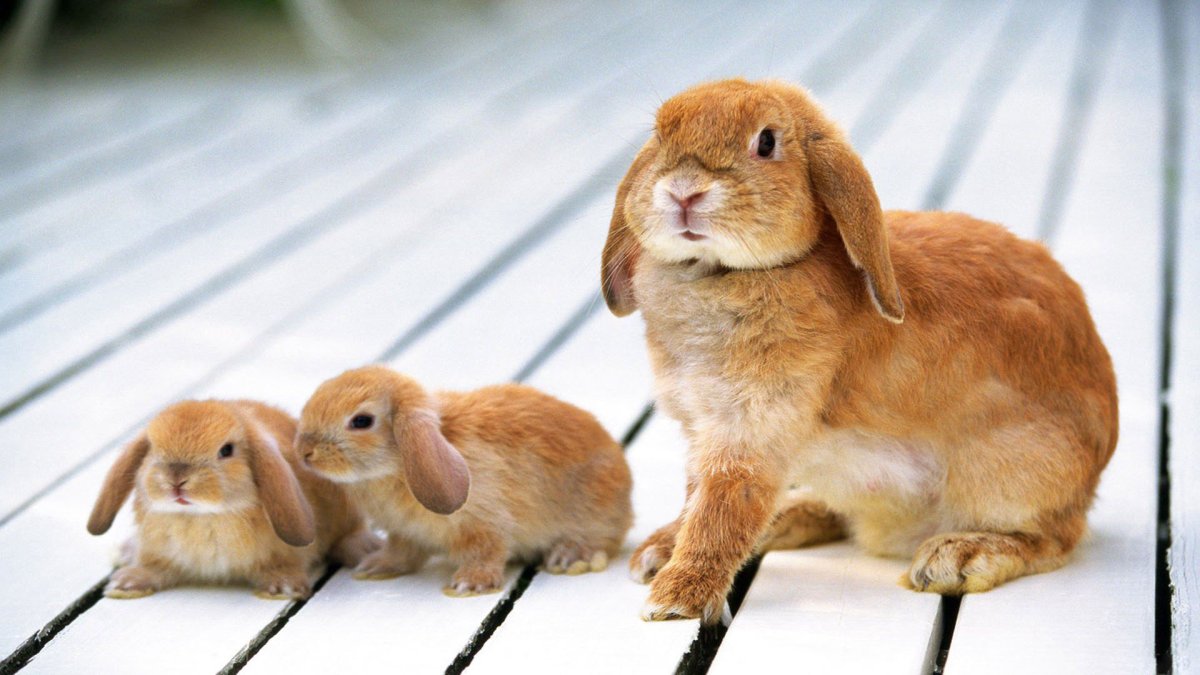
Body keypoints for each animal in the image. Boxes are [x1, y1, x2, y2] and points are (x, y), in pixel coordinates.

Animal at [87, 399, 378, 600]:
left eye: (226, 450)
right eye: (152, 448)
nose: (177, 480)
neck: (203, 516)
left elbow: (285, 564)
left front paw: (281, 588)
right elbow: (154, 568)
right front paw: (126, 583)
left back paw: (365, 549)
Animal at [296, 365, 633, 596]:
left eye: (361, 421)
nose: (304, 452)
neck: (398, 466)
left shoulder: (484, 523)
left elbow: (485, 550)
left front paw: (468, 585)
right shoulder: (404, 532)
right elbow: (400, 552)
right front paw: (374, 567)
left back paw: (568, 557)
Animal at [600, 79, 1118, 623]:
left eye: (766, 142)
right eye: (661, 133)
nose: (683, 190)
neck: (721, 272)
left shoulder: (751, 431)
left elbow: (722, 509)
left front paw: (675, 598)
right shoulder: (705, 431)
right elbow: (695, 501)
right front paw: (659, 553)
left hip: (1010, 474)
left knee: (1055, 538)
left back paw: (957, 556)